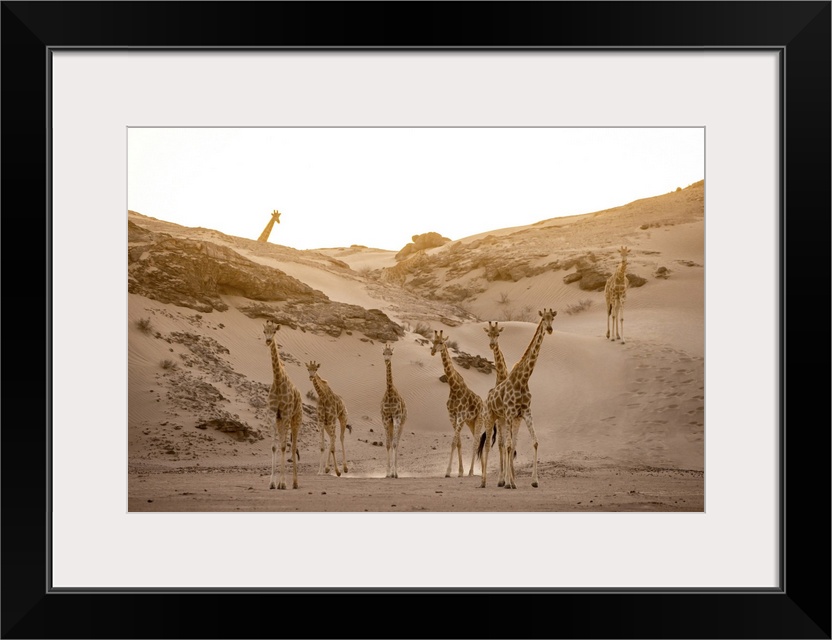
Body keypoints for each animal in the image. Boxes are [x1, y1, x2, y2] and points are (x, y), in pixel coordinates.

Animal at [428, 330, 488, 476]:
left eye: (441, 342)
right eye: (433, 341)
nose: (432, 351)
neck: (454, 387)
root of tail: (484, 405)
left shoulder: (460, 416)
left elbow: (454, 442)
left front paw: (448, 472)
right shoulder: (452, 416)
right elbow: (458, 443)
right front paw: (460, 471)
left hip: (479, 420)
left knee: (476, 442)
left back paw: (471, 471)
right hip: (470, 422)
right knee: (478, 441)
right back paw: (481, 470)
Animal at [478, 308, 556, 488]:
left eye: (553, 318)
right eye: (543, 318)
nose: (549, 329)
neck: (523, 379)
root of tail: (486, 399)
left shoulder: (524, 413)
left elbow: (533, 442)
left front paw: (533, 481)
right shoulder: (509, 413)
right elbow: (507, 446)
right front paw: (507, 482)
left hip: (505, 419)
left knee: (505, 445)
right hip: (490, 417)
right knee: (488, 445)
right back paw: (484, 481)